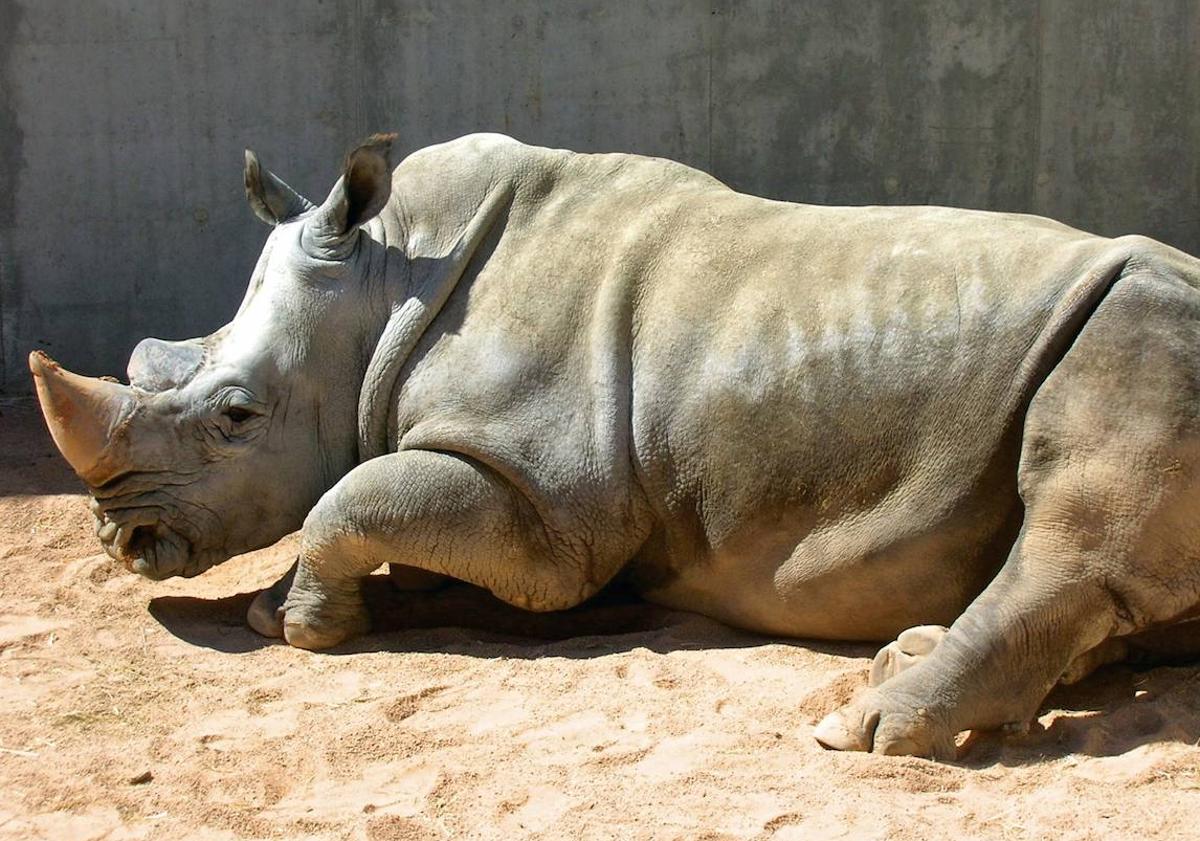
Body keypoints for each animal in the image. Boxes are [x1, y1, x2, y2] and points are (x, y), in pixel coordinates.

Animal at [30, 132, 1200, 753]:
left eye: (235, 416)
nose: (119, 541)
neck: (384, 285)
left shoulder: (551, 507)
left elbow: (350, 499)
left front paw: (301, 630)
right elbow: (373, 503)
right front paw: (315, 608)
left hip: (1144, 330)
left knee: (1076, 537)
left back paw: (866, 726)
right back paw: (906, 655)